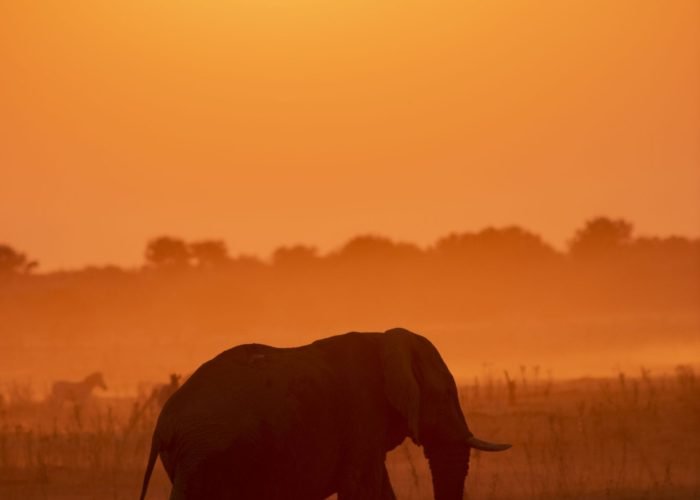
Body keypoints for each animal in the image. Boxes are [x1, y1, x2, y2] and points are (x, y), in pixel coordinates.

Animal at [139, 328, 511, 500]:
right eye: (446, 395)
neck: (384, 338)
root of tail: (161, 426)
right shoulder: (361, 412)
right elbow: (362, 488)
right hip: (204, 456)